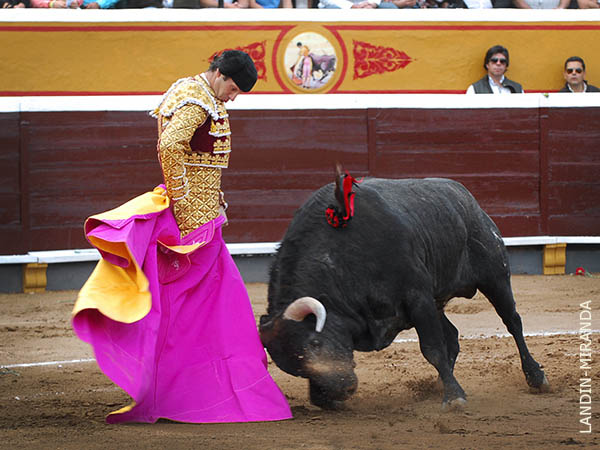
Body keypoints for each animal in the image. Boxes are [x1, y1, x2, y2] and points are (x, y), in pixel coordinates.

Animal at [258, 174, 548, 410]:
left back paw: (536, 377)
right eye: (294, 368)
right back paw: (437, 386)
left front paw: (454, 397)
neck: (339, 258)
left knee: (512, 322)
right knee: (453, 335)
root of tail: (468, 199)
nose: (339, 391)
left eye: (315, 343)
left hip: (494, 276)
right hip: (438, 300)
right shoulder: (422, 302)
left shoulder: (417, 297)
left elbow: (432, 348)